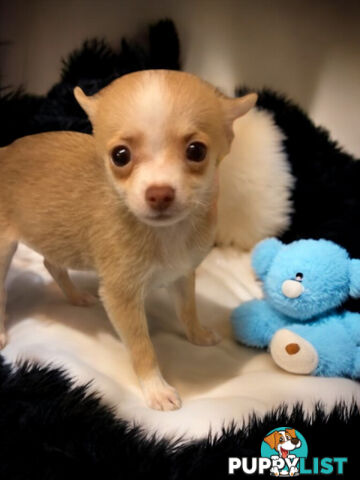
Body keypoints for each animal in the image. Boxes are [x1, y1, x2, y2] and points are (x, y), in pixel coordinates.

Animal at [0, 69, 256, 410]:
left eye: (196, 151)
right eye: (120, 156)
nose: (159, 193)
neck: (167, 233)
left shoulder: (183, 274)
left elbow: (187, 310)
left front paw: (198, 335)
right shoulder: (121, 296)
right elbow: (142, 346)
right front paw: (156, 388)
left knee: (52, 264)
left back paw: (75, 297)